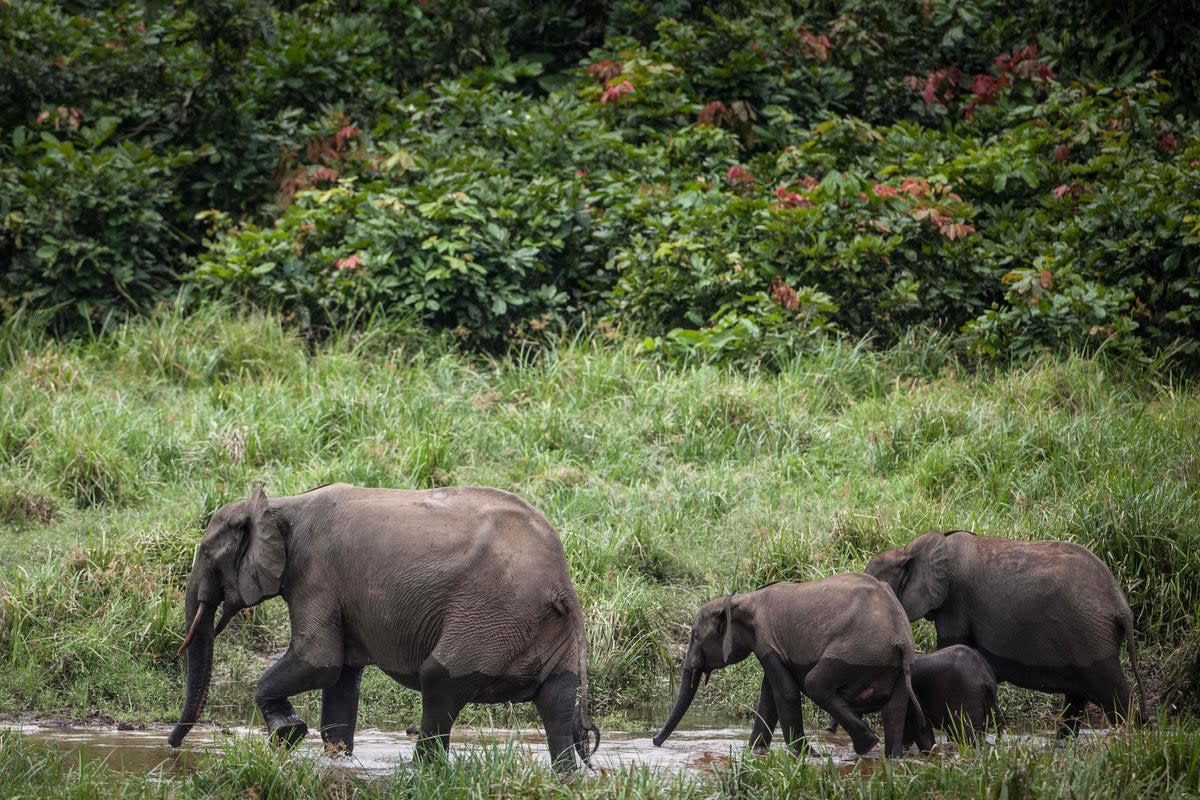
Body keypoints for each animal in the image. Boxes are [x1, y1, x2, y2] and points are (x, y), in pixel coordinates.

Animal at [169, 482, 600, 767]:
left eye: (206, 554)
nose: (173, 746)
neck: (278, 504)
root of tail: (561, 583)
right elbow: (341, 677)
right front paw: (336, 763)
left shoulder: (315, 574)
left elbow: (318, 662)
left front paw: (287, 733)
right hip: (537, 623)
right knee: (557, 698)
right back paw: (565, 777)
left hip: (491, 613)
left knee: (440, 679)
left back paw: (421, 771)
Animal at [652, 575, 921, 758]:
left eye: (695, 636)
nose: (654, 741)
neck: (742, 599)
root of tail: (901, 637)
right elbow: (768, 696)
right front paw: (754, 752)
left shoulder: (766, 639)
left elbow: (785, 691)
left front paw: (805, 755)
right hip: (892, 663)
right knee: (895, 707)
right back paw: (892, 756)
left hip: (858, 650)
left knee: (815, 684)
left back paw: (867, 745)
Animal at [864, 527, 1142, 734]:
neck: (908, 549)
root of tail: (1120, 605)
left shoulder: (955, 601)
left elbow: (951, 645)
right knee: (1077, 699)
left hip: (1090, 637)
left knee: (1114, 695)